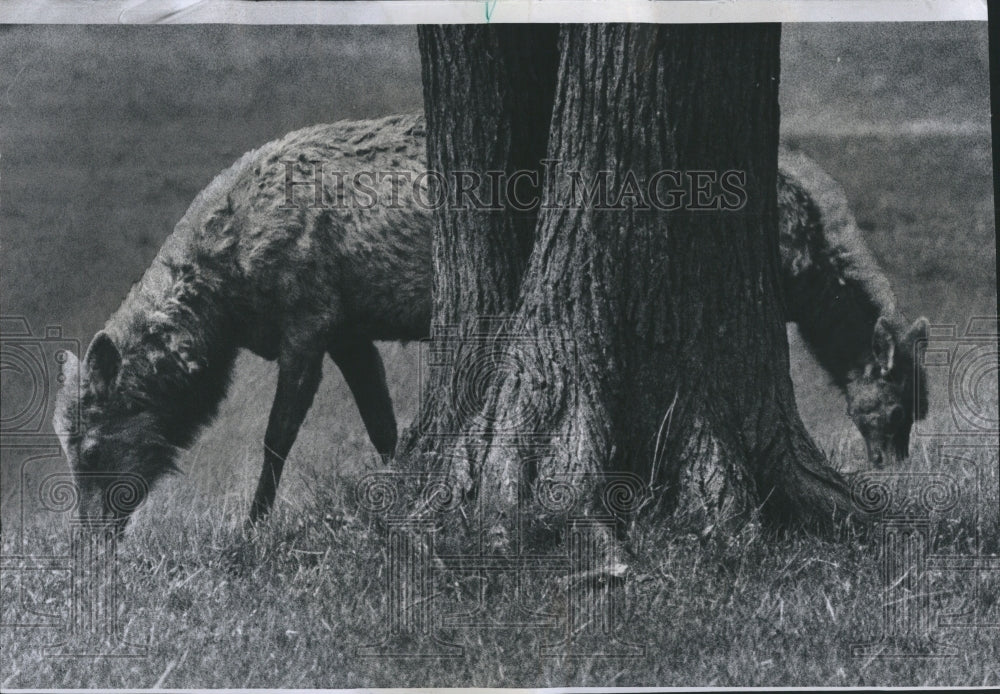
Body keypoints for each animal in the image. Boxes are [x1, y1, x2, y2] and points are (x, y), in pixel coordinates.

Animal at [52, 114, 928, 532]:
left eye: (90, 445)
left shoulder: (309, 316)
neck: (229, 303)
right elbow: (381, 423)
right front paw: (408, 483)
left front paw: (252, 524)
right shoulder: (345, 325)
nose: (91, 545)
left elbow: (277, 436)